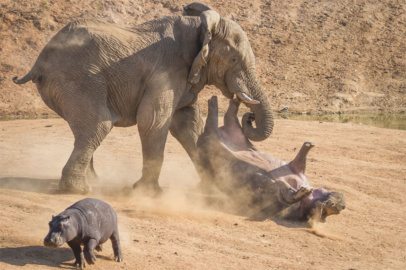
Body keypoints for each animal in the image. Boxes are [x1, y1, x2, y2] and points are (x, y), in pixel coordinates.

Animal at [12, 3, 274, 195]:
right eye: (234, 60)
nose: (247, 113)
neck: (201, 27)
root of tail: (38, 61)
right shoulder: (167, 70)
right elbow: (153, 120)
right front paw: (149, 193)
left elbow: (188, 125)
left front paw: (211, 188)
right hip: (77, 79)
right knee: (99, 125)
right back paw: (78, 190)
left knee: (87, 129)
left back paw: (92, 182)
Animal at [197, 96, 346, 223]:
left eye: (332, 209)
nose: (342, 204)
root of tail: (201, 138)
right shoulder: (294, 167)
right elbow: (299, 161)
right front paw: (309, 145)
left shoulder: (275, 191)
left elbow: (283, 190)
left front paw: (304, 191)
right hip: (226, 131)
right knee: (228, 115)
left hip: (214, 139)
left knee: (218, 119)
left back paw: (215, 101)